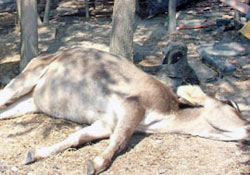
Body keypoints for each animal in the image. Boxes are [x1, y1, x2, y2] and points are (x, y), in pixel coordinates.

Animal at [0, 47, 249, 174]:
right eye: (232, 104)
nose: (248, 127)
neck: (164, 117)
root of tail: (40, 56)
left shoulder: (106, 122)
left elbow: (79, 137)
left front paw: (34, 153)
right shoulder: (133, 104)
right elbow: (120, 141)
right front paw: (95, 163)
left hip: (27, 103)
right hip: (25, 79)